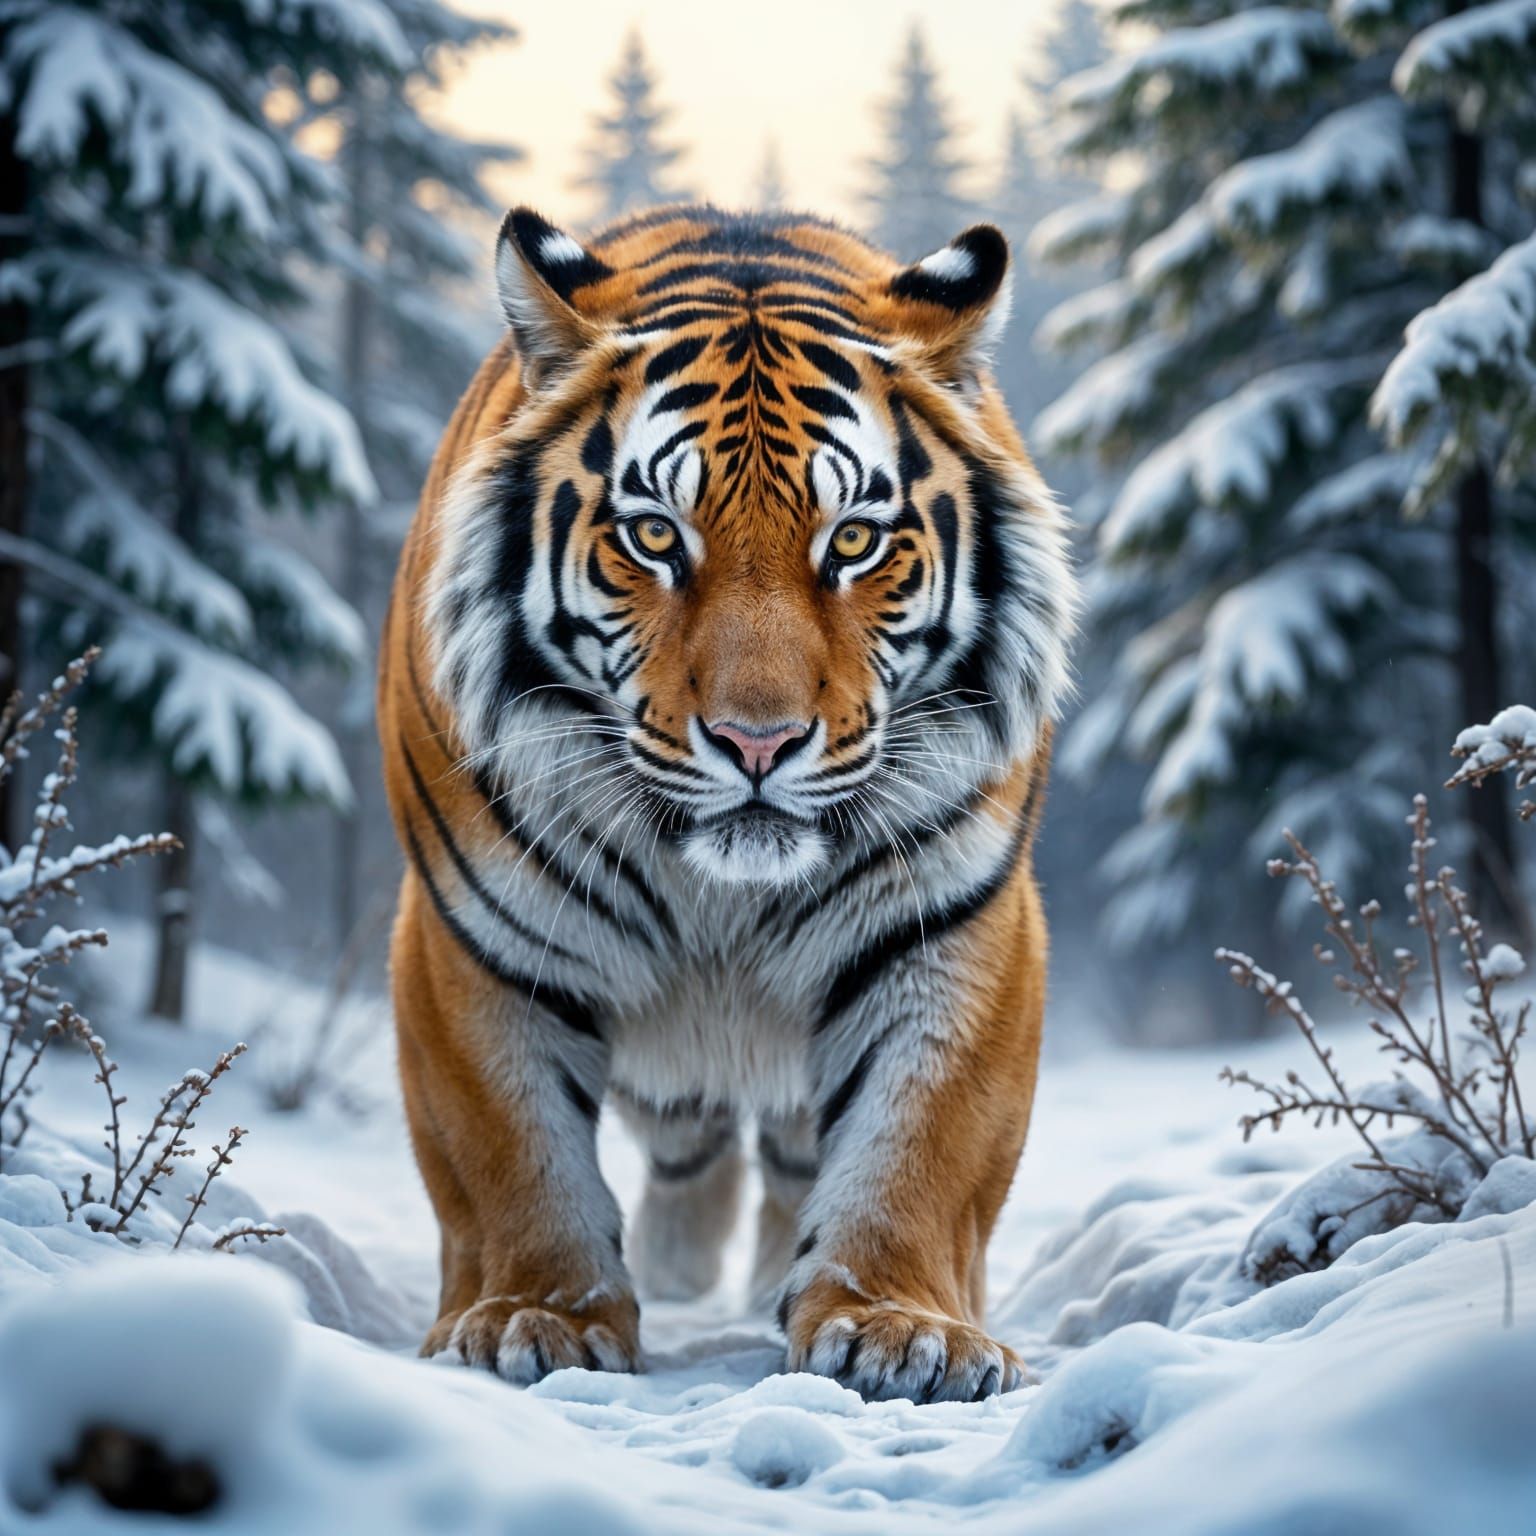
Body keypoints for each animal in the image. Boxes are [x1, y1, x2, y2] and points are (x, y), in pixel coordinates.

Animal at [377, 203, 1075, 1404]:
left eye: (854, 541)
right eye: (655, 535)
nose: (759, 740)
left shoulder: (953, 923)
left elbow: (920, 1143)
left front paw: (902, 1328)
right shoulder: (472, 938)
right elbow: (511, 1150)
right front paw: (536, 1317)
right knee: (684, 1131)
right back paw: (679, 1266)